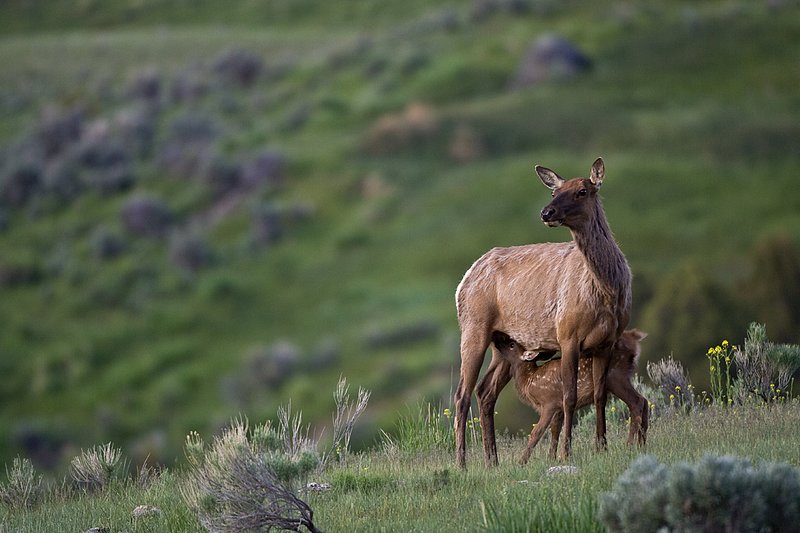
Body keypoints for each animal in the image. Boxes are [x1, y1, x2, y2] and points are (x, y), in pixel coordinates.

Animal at [454, 157, 632, 467]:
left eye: (583, 191)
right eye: (554, 191)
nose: (546, 212)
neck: (607, 291)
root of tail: (464, 279)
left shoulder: (607, 341)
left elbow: (600, 395)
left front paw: (602, 447)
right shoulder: (568, 334)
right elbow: (569, 396)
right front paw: (565, 452)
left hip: (504, 343)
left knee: (485, 391)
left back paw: (492, 461)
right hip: (473, 326)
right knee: (461, 394)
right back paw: (462, 463)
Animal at [491, 329, 648, 464]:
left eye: (512, 344)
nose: (496, 336)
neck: (529, 381)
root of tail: (634, 338)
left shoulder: (549, 402)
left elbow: (537, 432)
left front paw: (521, 462)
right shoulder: (559, 407)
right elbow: (555, 430)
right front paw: (551, 458)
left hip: (615, 375)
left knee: (636, 402)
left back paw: (630, 445)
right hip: (623, 375)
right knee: (644, 400)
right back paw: (642, 443)